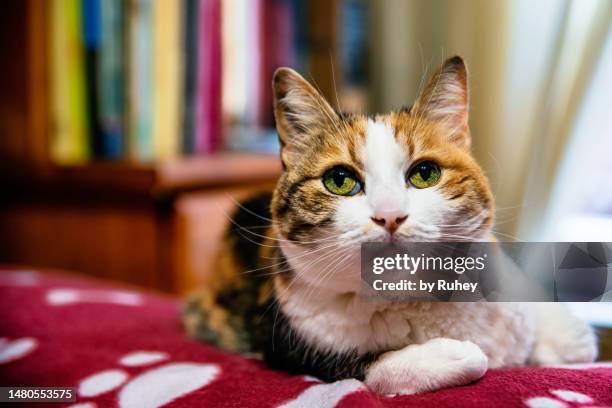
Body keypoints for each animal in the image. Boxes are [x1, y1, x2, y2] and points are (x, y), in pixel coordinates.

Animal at [184, 57, 596, 396]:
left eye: (425, 173)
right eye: (339, 180)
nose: (390, 215)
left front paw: (568, 335)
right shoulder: (286, 338)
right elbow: (366, 362)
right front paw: (452, 355)